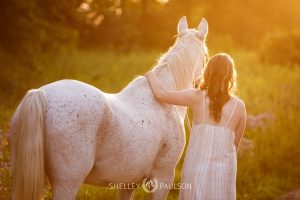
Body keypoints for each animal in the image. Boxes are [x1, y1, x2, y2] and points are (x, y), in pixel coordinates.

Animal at [10, 16, 209, 199]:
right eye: (206, 56)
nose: (201, 84)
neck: (164, 100)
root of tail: (40, 94)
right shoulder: (162, 178)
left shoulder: (128, 182)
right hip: (67, 183)